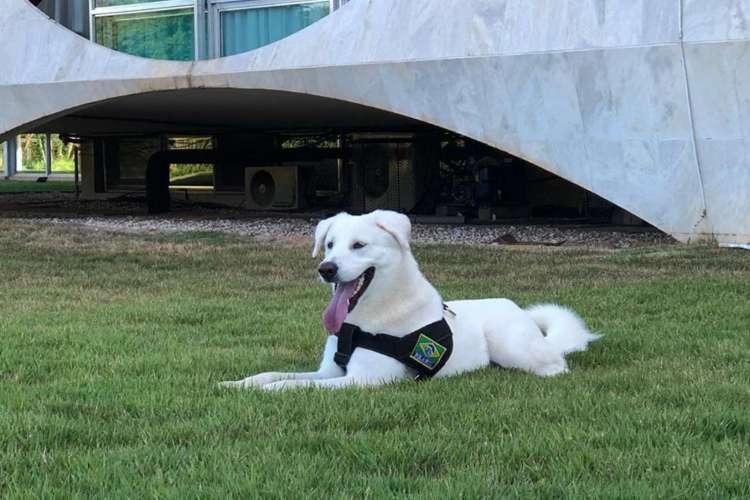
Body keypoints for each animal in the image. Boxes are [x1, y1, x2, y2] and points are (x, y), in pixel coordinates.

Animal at [220, 211, 604, 390]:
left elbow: (293, 385)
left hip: (514, 349)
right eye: (329, 245)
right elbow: (272, 373)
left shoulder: (361, 381)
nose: (326, 269)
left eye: (359, 245)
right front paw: (238, 384)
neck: (361, 322)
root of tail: (516, 308)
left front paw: (270, 391)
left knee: (556, 364)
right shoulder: (329, 370)